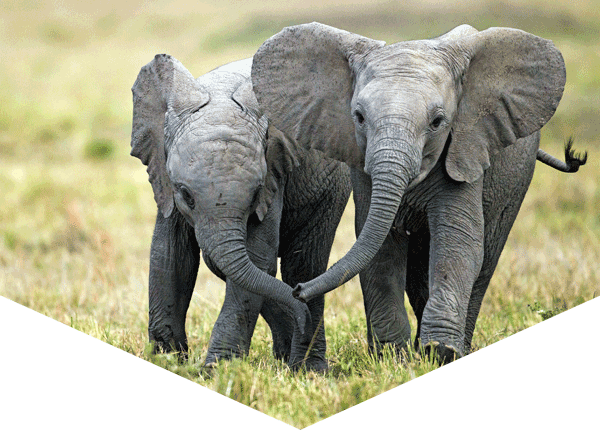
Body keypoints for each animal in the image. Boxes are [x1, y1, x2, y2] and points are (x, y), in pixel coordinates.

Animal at [129, 53, 350, 370]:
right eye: (186, 194)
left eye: (255, 193)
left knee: (305, 265)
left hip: (331, 187)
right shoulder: (165, 180)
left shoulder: (275, 174)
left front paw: (217, 371)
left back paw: (308, 369)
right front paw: (169, 362)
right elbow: (170, 257)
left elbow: (257, 259)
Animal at [252, 23, 584, 362]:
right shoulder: (362, 163)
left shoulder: (465, 150)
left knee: (484, 262)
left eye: (437, 122)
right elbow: (381, 247)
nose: (298, 290)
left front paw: (441, 352)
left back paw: (452, 349)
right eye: (359, 117)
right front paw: (391, 357)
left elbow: (458, 243)